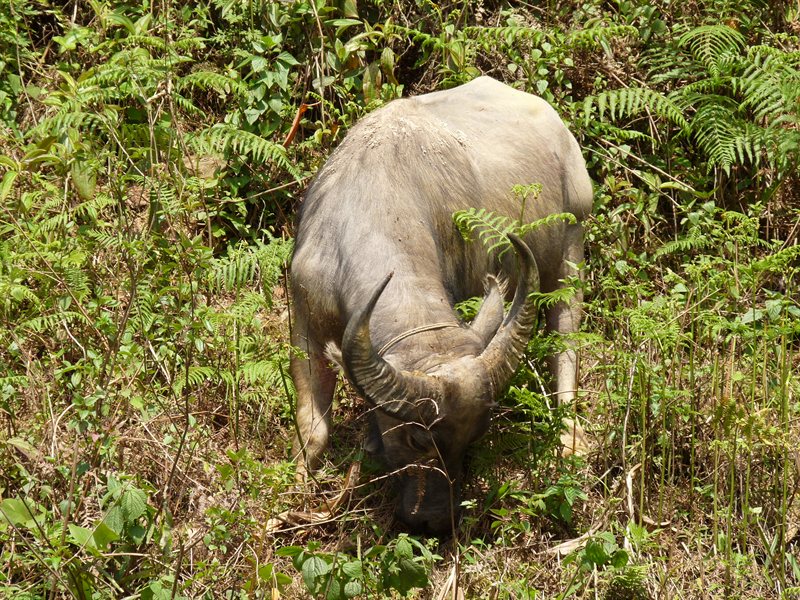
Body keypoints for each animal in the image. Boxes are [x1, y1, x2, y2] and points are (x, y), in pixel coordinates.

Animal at [290, 76, 592, 534]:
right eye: (416, 438)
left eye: (474, 437)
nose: (434, 521)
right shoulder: (303, 317)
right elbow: (313, 431)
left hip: (573, 241)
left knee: (566, 335)